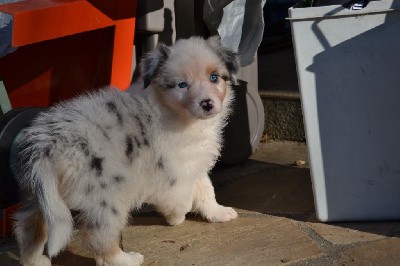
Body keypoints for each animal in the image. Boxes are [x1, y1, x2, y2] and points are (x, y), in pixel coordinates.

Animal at [14, 37, 241, 266]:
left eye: (214, 77)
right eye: (182, 85)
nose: (207, 104)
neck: (177, 113)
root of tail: (48, 141)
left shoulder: (194, 162)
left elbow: (206, 188)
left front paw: (218, 212)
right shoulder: (173, 170)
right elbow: (183, 197)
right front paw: (176, 217)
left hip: (43, 195)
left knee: (29, 226)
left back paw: (35, 260)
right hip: (108, 194)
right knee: (99, 237)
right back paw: (126, 259)